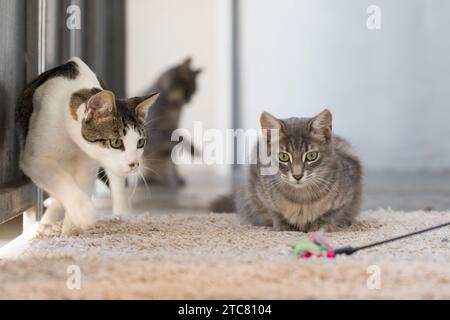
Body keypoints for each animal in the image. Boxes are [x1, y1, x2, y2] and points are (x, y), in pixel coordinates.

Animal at [15, 57, 159, 234]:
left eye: (140, 142)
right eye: (116, 142)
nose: (134, 164)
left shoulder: (88, 161)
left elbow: (83, 183)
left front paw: (71, 227)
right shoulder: (35, 159)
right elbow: (59, 178)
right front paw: (82, 213)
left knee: (115, 179)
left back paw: (122, 214)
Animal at [210, 109, 362, 231]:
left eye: (311, 156)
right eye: (283, 156)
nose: (297, 175)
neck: (301, 199)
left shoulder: (349, 193)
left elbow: (332, 213)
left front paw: (320, 225)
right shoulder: (261, 191)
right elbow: (274, 211)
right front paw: (283, 225)